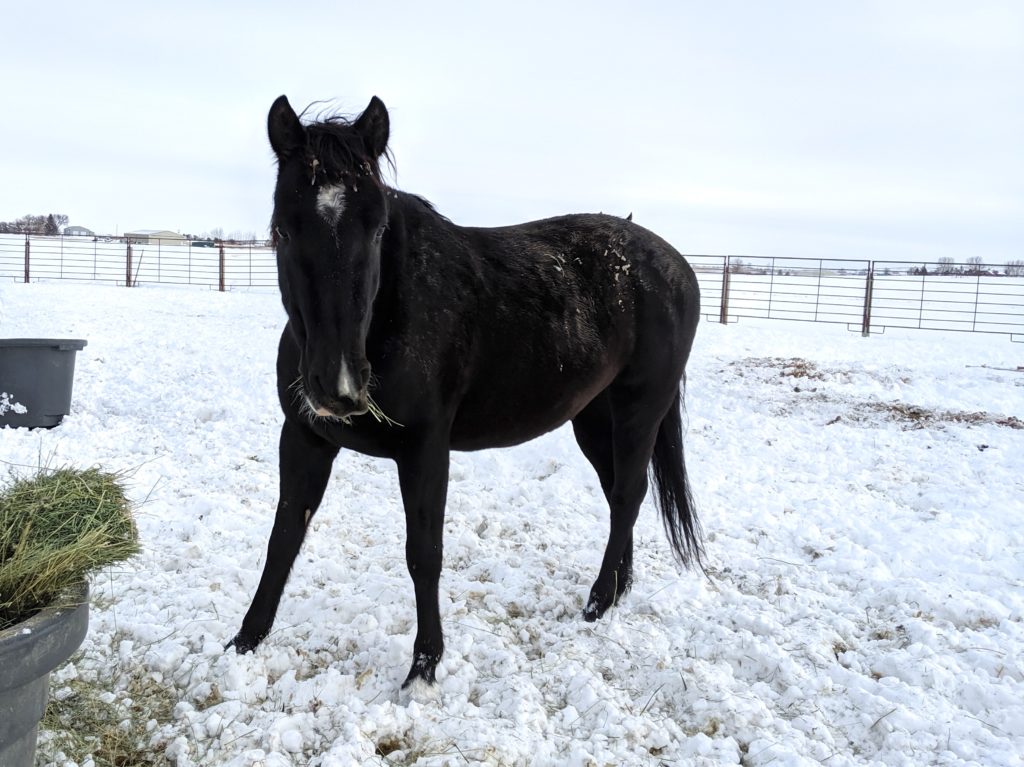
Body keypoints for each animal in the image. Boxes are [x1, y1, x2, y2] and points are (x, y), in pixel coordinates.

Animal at [228, 94, 700, 688]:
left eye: (377, 230)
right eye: (284, 230)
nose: (340, 387)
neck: (393, 314)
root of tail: (675, 265)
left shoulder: (426, 448)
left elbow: (424, 553)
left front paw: (424, 665)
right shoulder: (305, 438)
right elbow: (284, 536)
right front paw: (245, 640)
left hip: (641, 408)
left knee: (628, 494)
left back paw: (597, 601)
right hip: (595, 418)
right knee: (622, 495)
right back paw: (616, 591)